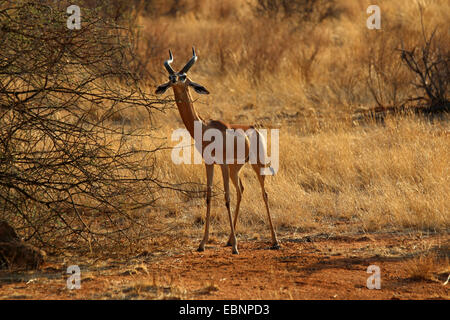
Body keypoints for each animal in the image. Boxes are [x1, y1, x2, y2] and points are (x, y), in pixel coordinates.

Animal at [156, 47, 280, 254]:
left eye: (184, 76)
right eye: (170, 75)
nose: (173, 79)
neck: (204, 127)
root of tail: (253, 128)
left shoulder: (221, 164)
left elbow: (226, 198)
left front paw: (236, 247)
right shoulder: (209, 163)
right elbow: (208, 196)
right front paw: (202, 243)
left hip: (256, 164)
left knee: (264, 194)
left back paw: (274, 241)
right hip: (235, 169)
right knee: (241, 190)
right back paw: (229, 240)